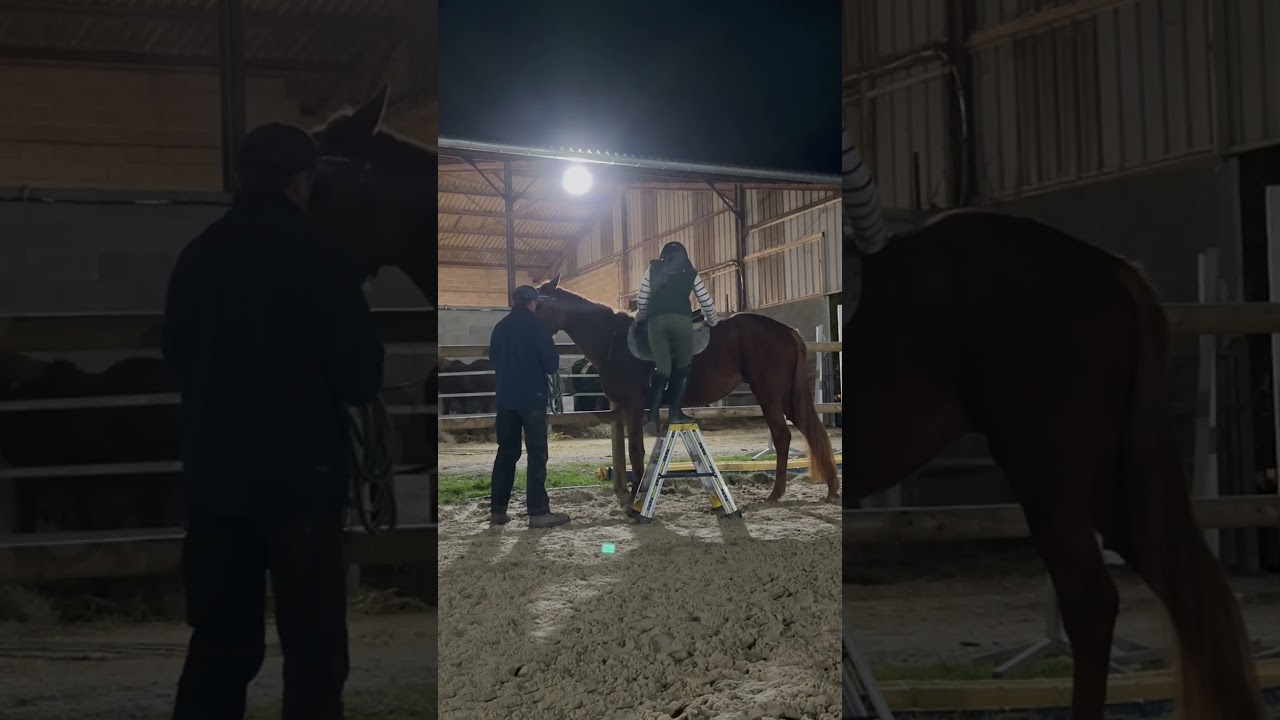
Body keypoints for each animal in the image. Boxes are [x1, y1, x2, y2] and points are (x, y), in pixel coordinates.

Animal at [532, 274, 838, 503]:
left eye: (539, 306)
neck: (614, 340)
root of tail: (786, 330)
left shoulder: (633, 407)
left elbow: (635, 451)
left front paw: (633, 498)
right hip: (786, 399)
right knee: (812, 430)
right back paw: (831, 488)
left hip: (770, 396)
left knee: (783, 436)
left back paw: (777, 492)